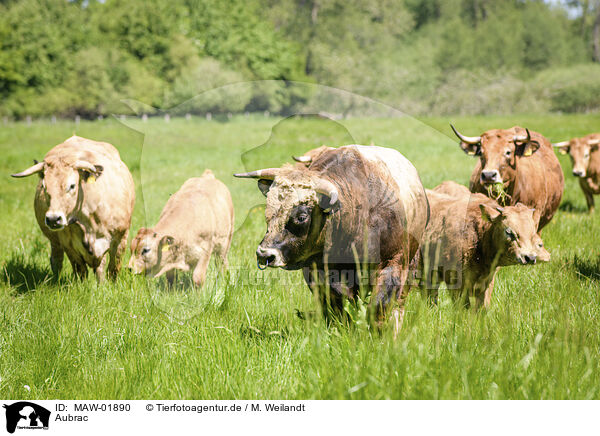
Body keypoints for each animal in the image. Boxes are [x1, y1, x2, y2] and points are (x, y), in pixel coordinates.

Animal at [11, 135, 135, 282]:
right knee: (56, 260)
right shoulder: (68, 245)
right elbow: (80, 271)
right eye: (44, 187)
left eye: (72, 186)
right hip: (55, 241)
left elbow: (113, 269)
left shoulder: (120, 238)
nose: (53, 219)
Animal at [232, 145, 428, 332]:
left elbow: (378, 308)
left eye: (302, 216)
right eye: (268, 212)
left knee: (399, 304)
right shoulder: (316, 272)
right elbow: (337, 304)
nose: (264, 254)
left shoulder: (392, 264)